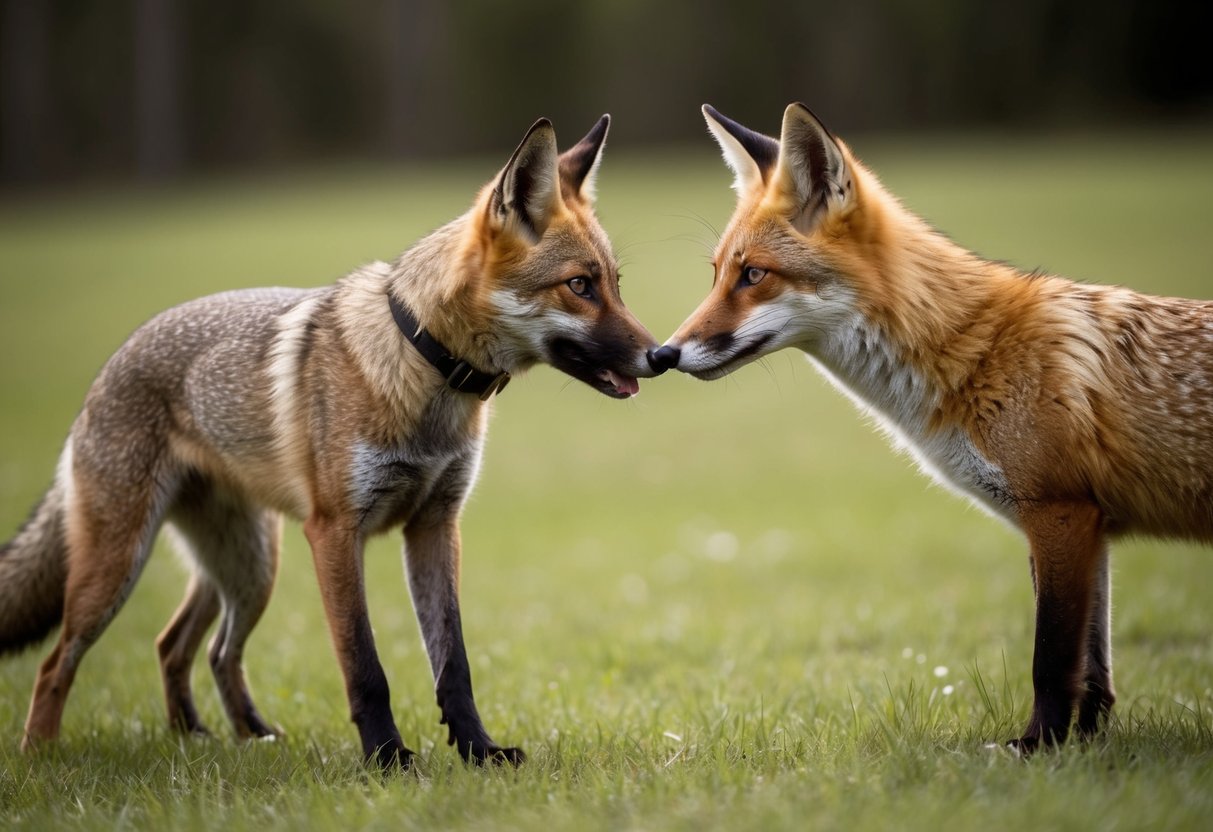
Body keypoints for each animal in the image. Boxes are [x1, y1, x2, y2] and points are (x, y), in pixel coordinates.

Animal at [0, 115, 662, 768]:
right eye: (579, 285)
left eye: (616, 284)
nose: (658, 355)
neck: (422, 366)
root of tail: (111, 363)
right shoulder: (335, 532)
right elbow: (364, 665)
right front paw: (387, 760)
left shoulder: (435, 525)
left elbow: (453, 664)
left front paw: (479, 752)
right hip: (121, 565)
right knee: (59, 663)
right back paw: (43, 758)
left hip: (247, 567)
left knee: (190, 647)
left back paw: (224, 738)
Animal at [649, 102, 1213, 752]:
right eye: (718, 273)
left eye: (754, 275)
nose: (662, 354)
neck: (974, 353)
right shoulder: (1088, 529)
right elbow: (1092, 670)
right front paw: (1087, 748)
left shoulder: (1060, 514)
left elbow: (1050, 658)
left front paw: (1037, 748)